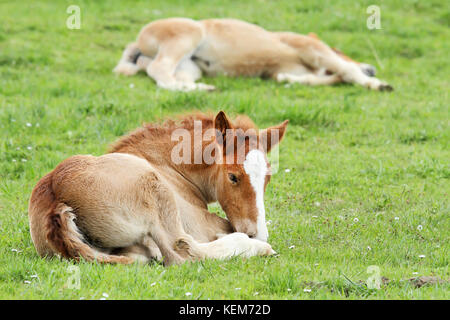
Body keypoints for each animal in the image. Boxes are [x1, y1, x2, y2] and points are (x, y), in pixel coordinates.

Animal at [29, 111, 288, 266]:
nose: (257, 232)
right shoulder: (201, 223)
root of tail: (54, 199)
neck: (167, 164)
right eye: (233, 176)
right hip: (157, 193)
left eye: (268, 178)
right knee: (181, 252)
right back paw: (259, 247)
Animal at [114, 17, 392, 91]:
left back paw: (203, 89)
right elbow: (346, 69)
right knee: (158, 69)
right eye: (341, 49)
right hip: (188, 33)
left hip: (190, 66)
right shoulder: (309, 47)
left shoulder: (285, 71)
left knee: (162, 72)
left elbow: (313, 78)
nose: (372, 68)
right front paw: (377, 84)